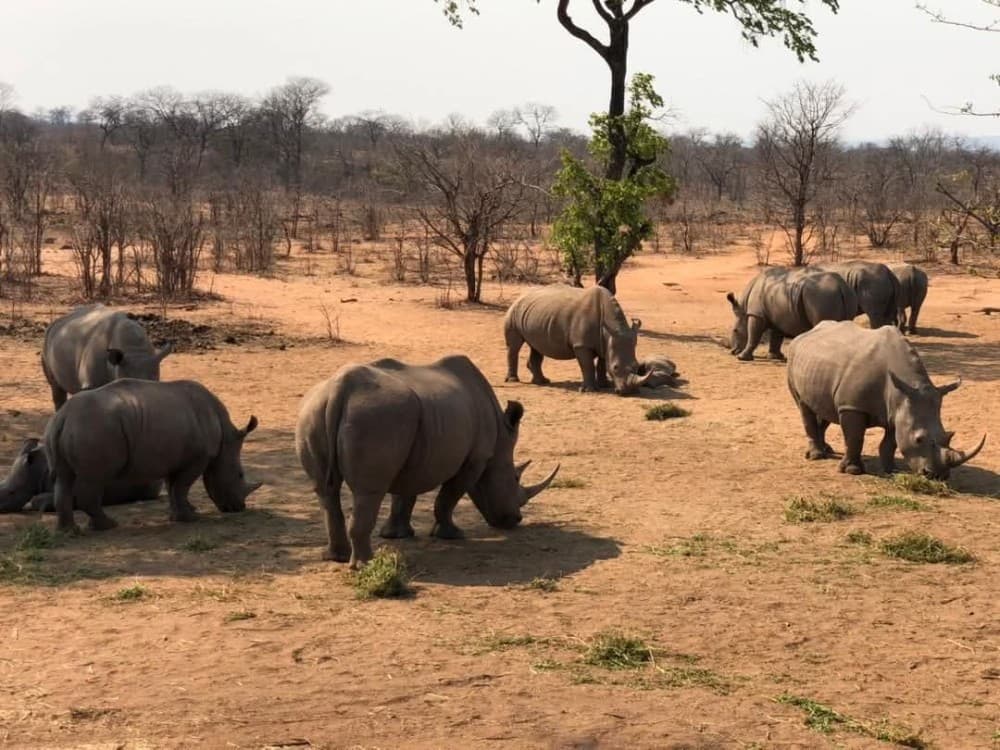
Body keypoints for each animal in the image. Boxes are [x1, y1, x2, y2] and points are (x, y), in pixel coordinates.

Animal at [44, 379, 261, 532]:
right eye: (240, 475)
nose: (239, 507)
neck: (225, 436)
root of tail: (63, 417)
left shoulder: (173, 456)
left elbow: (173, 487)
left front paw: (180, 516)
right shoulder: (197, 458)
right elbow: (182, 487)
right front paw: (190, 519)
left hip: (68, 429)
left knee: (64, 478)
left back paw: (69, 531)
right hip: (94, 429)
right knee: (95, 479)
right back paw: (108, 526)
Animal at [295, 354, 559, 568]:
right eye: (514, 478)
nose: (516, 520)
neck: (500, 442)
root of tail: (340, 388)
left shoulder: (414, 452)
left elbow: (404, 495)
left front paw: (397, 535)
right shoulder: (475, 459)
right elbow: (448, 497)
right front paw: (452, 535)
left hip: (315, 411)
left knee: (325, 491)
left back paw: (336, 558)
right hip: (375, 416)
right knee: (368, 492)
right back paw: (366, 564)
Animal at [504, 285, 653, 395]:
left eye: (637, 366)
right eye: (616, 368)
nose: (630, 392)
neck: (610, 328)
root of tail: (521, 295)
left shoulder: (605, 342)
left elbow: (602, 364)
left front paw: (605, 385)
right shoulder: (581, 345)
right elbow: (587, 365)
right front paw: (589, 390)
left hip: (535, 314)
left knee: (537, 347)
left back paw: (542, 381)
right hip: (514, 311)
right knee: (514, 347)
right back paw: (513, 380)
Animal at [726, 267, 858, 361]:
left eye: (735, 331)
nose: (732, 351)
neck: (743, 309)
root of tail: (841, 285)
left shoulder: (756, 314)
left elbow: (753, 334)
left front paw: (742, 358)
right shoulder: (778, 315)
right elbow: (776, 336)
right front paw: (776, 357)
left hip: (822, 295)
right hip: (848, 294)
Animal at [787, 320, 985, 478]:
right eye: (919, 439)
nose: (937, 476)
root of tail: (805, 333)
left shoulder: (898, 409)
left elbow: (891, 442)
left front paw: (893, 470)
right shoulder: (852, 406)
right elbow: (854, 438)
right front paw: (853, 471)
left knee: (823, 407)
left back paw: (826, 450)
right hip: (793, 358)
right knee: (804, 406)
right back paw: (816, 456)